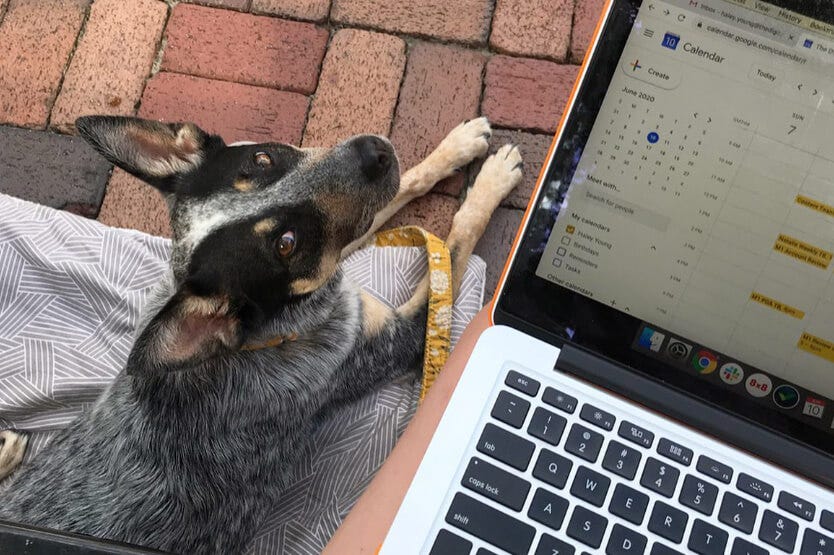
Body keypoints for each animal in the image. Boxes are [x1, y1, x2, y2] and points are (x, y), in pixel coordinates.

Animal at [0, 115, 520, 552]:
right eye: (286, 243)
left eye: (264, 158)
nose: (374, 152)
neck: (271, 333)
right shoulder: (397, 337)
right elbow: (453, 242)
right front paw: (490, 183)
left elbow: (400, 187)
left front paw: (457, 146)